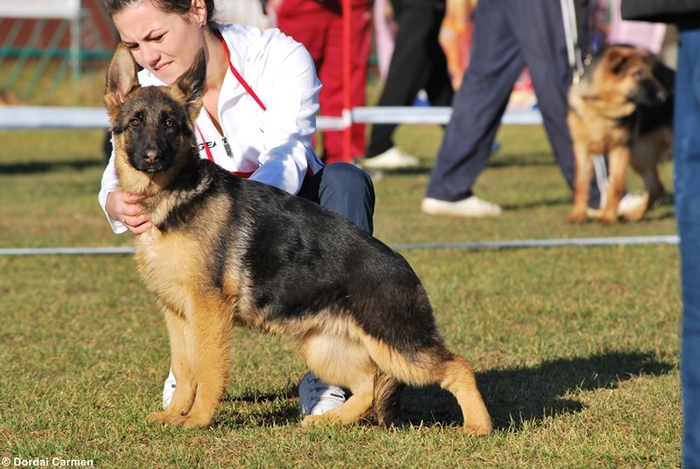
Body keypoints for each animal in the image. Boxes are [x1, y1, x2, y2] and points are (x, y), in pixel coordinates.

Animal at [104, 45, 492, 434]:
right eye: (135, 122)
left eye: (169, 123)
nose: (152, 157)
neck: (175, 194)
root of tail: (406, 270)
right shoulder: (177, 314)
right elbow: (185, 370)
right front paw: (174, 415)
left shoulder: (208, 311)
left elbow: (207, 369)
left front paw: (198, 419)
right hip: (323, 347)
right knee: (368, 386)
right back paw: (329, 420)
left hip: (397, 345)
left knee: (457, 366)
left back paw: (478, 426)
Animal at [568, 44, 676, 224]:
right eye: (639, 73)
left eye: (651, 72)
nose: (665, 97)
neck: (603, 108)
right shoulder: (582, 149)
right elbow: (581, 183)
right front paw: (577, 215)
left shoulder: (620, 148)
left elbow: (615, 184)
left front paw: (607, 217)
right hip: (641, 155)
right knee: (656, 187)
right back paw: (635, 215)